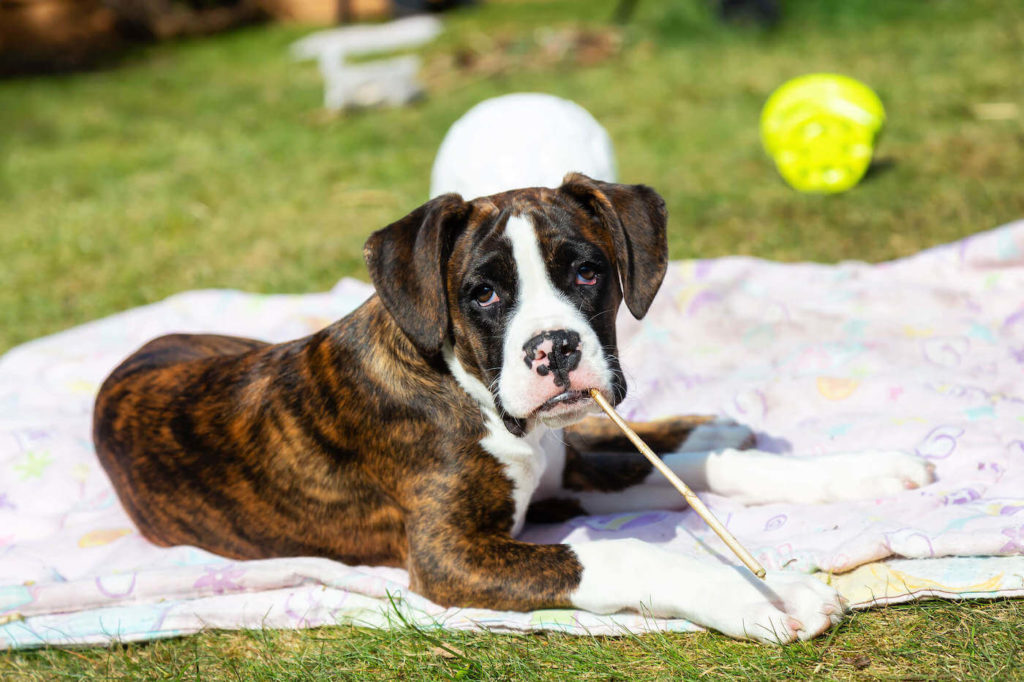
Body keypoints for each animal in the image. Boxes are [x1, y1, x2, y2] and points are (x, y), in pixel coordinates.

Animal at [96, 173, 937, 638]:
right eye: (484, 294)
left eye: (589, 273)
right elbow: (618, 552)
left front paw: (866, 469)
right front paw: (765, 595)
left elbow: (706, 469)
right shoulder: (451, 555)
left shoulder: (566, 474)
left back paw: (722, 423)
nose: (556, 349)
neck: (463, 382)